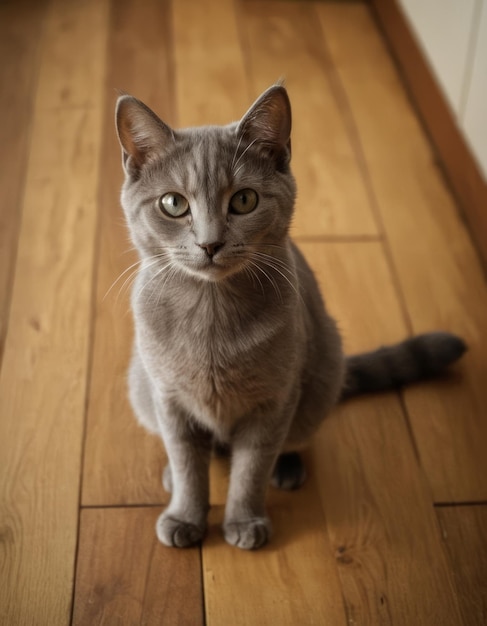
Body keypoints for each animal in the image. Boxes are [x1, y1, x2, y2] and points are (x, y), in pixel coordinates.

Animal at [113, 85, 466, 548]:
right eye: (173, 204)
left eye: (244, 200)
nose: (210, 243)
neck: (211, 311)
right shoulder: (169, 398)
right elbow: (189, 463)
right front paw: (185, 516)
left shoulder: (274, 400)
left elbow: (251, 468)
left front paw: (245, 521)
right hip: (141, 385)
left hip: (322, 369)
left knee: (294, 437)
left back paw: (287, 467)